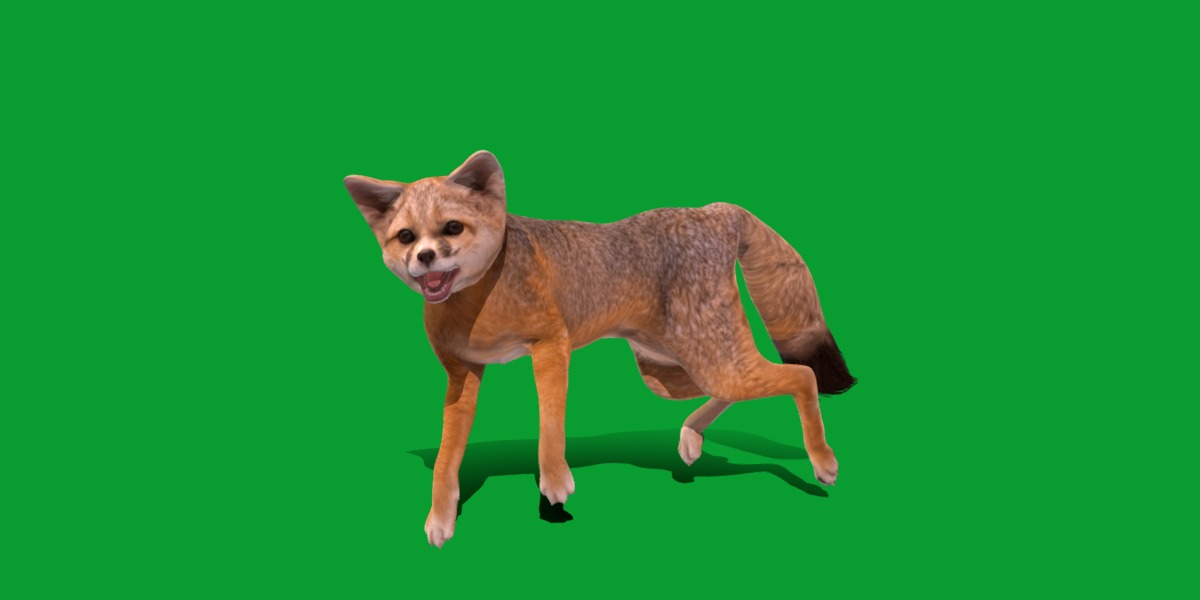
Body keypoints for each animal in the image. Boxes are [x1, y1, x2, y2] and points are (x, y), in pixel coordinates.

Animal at [344, 151, 855, 548]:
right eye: (406, 237)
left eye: (452, 229)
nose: (425, 258)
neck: (478, 300)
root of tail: (712, 210)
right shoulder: (462, 374)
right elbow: (447, 459)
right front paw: (441, 517)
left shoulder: (552, 345)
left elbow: (550, 423)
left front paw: (554, 481)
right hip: (673, 372)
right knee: (743, 389)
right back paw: (691, 437)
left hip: (710, 360)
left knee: (802, 376)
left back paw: (823, 460)